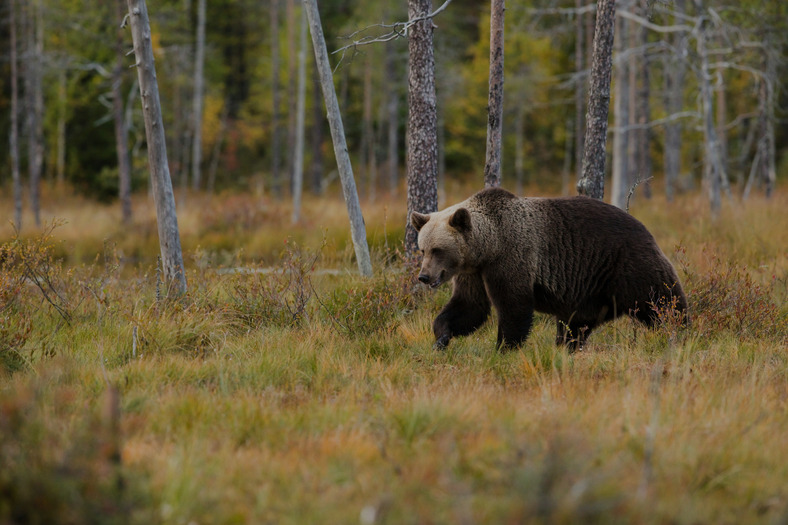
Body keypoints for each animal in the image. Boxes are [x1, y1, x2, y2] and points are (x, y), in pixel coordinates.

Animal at [411, 187, 688, 350]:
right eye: (423, 249)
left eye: (438, 250)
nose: (424, 276)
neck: (488, 246)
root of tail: (645, 228)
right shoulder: (474, 272)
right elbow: (469, 307)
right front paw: (441, 337)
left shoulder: (512, 258)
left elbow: (514, 307)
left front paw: (504, 348)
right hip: (590, 291)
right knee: (576, 325)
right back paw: (567, 347)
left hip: (627, 265)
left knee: (662, 301)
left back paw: (680, 332)